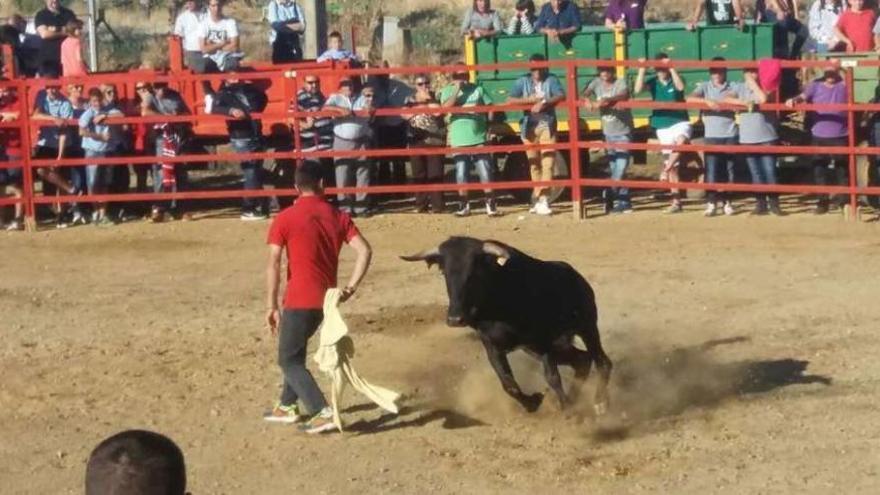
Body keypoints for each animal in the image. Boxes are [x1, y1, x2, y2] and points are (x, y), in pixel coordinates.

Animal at [404, 236, 612, 414]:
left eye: (474, 272)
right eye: (444, 272)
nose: (455, 319)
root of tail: (577, 277)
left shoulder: (543, 342)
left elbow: (552, 377)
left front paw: (567, 408)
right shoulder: (492, 346)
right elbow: (508, 383)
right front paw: (533, 402)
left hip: (587, 327)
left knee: (602, 362)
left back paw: (599, 403)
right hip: (539, 347)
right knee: (582, 360)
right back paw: (576, 399)